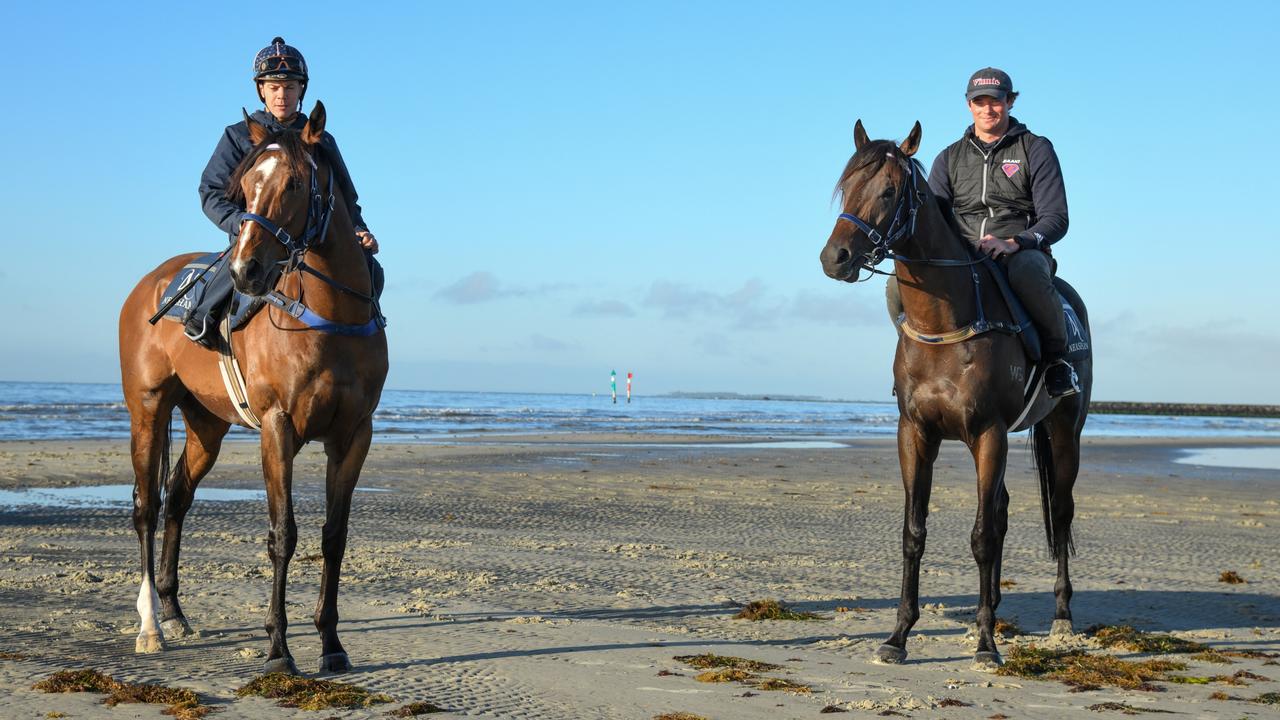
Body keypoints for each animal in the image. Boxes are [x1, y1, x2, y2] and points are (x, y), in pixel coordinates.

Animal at [117, 102, 386, 671]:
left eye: (295, 183)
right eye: (244, 187)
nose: (245, 270)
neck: (330, 319)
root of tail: (149, 282)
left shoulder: (354, 434)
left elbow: (334, 536)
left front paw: (332, 645)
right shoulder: (276, 428)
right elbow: (283, 535)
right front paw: (278, 649)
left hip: (206, 425)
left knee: (178, 497)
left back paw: (175, 611)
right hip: (147, 409)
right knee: (147, 507)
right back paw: (151, 625)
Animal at [819, 120, 1090, 666]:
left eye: (888, 191)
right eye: (845, 186)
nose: (834, 258)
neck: (945, 323)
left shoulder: (988, 434)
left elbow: (982, 537)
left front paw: (986, 644)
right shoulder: (915, 434)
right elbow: (914, 533)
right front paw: (899, 636)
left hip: (1064, 431)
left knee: (1061, 512)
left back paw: (1061, 616)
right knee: (1003, 508)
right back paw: (996, 606)